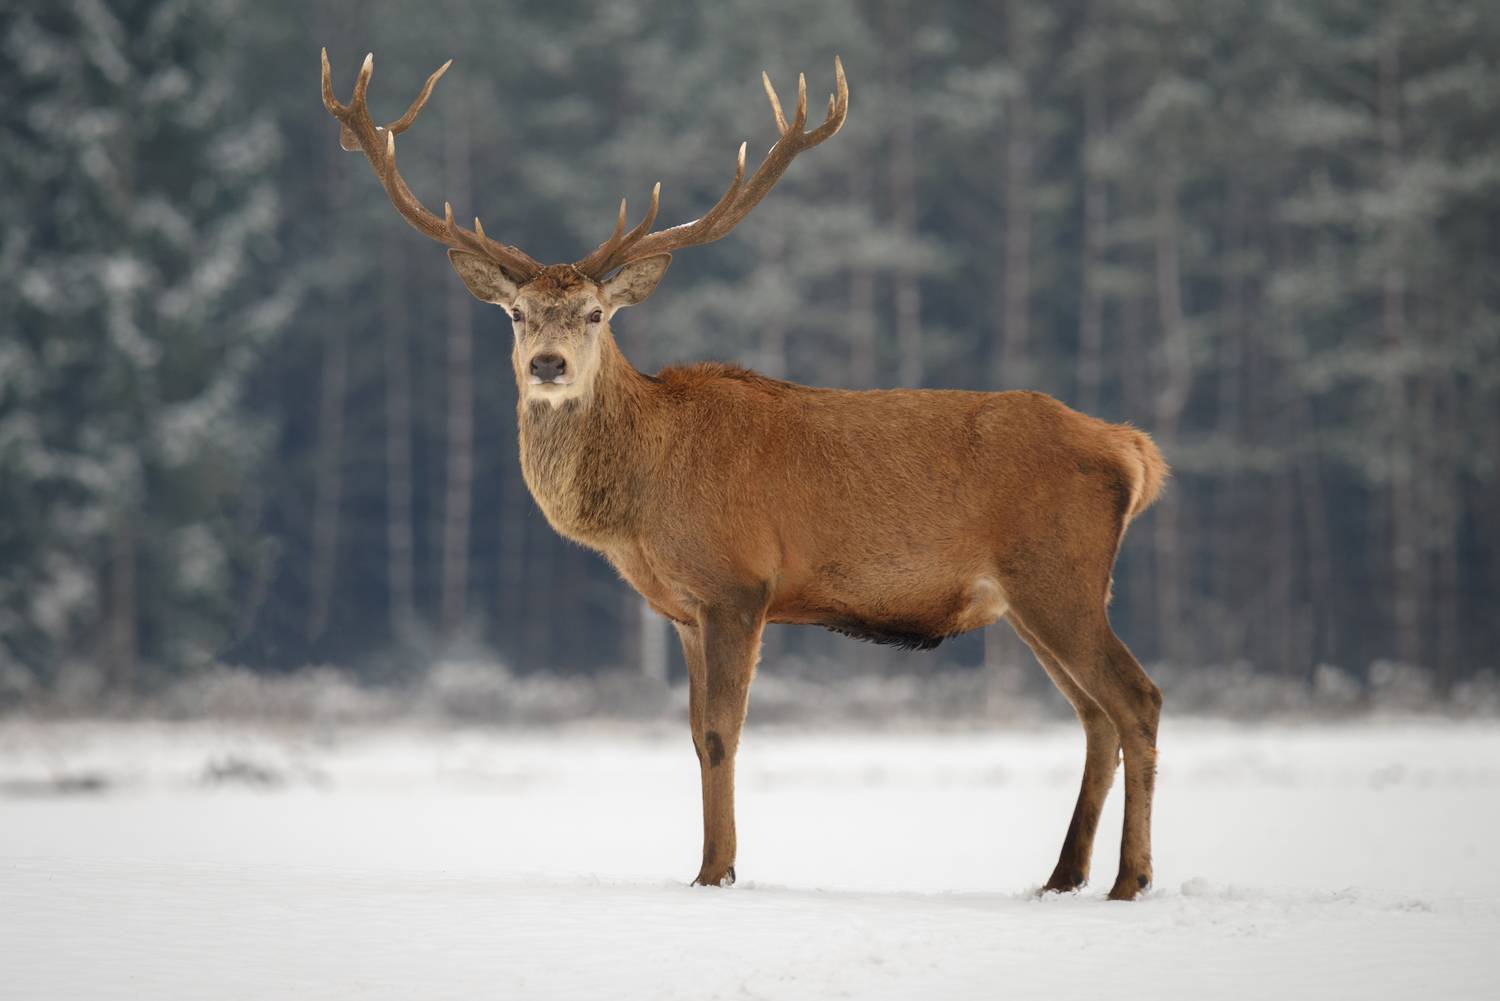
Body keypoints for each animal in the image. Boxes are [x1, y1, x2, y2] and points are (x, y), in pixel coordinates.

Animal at [321, 49, 1169, 901]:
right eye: (517, 313)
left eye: (595, 313)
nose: (548, 366)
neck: (641, 499)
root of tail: (1133, 449)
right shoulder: (683, 608)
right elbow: (697, 736)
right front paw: (709, 863)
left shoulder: (739, 582)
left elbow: (725, 731)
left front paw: (717, 871)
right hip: (1034, 597)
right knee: (1094, 715)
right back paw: (1062, 877)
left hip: (1058, 572)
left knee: (1137, 699)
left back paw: (1129, 880)